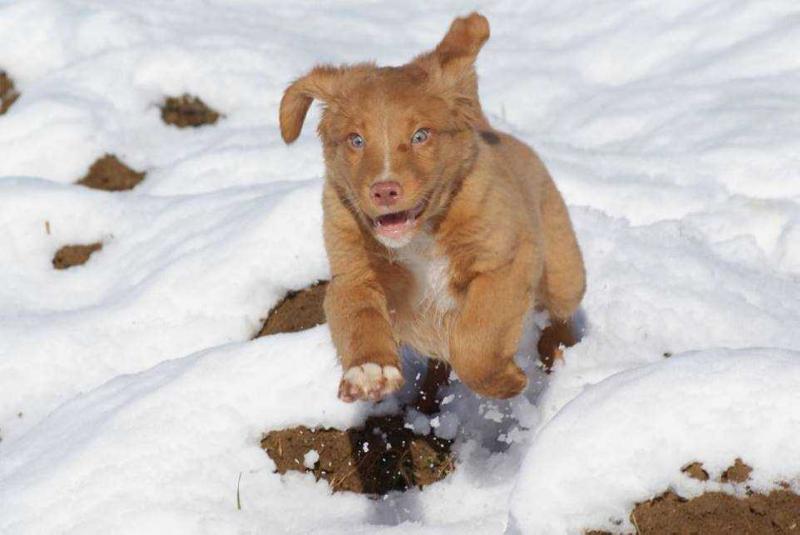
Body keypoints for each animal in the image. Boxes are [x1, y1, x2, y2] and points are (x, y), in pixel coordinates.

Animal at [278, 11, 584, 402]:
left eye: (420, 136)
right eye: (356, 140)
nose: (384, 191)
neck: (421, 237)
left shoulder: (504, 264)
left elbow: (477, 341)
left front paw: (507, 381)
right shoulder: (352, 275)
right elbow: (359, 319)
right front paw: (369, 371)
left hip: (563, 274)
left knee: (561, 317)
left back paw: (561, 356)